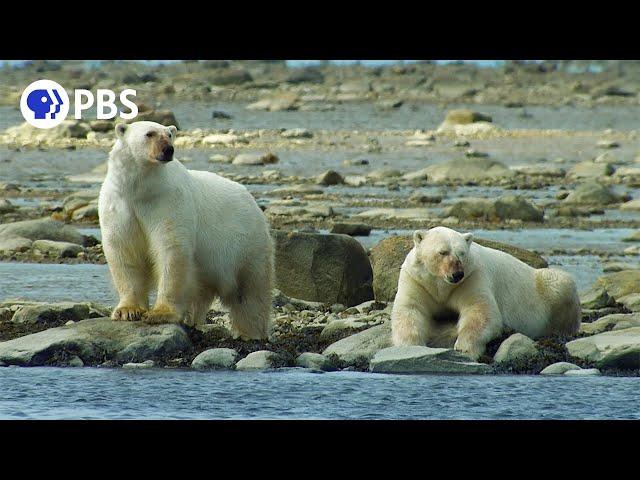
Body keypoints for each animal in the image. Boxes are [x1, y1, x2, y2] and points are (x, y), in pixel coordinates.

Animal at [99, 122, 274, 340]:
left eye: (169, 134)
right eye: (150, 134)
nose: (168, 150)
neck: (140, 189)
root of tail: (253, 202)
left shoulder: (168, 201)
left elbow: (171, 249)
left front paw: (159, 314)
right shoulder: (119, 204)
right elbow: (123, 252)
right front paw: (127, 311)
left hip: (246, 244)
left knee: (250, 291)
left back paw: (250, 332)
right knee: (201, 292)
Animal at [390, 228, 580, 360]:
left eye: (462, 253)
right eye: (442, 252)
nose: (456, 274)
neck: (442, 285)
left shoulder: (472, 277)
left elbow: (480, 311)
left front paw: (464, 348)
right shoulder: (418, 280)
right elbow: (410, 310)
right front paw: (411, 347)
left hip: (544, 287)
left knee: (560, 282)